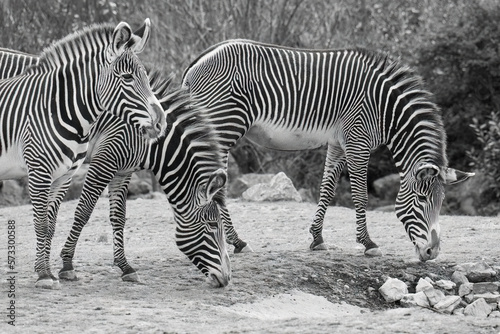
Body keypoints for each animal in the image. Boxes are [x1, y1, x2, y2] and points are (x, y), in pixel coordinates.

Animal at [0, 20, 168, 290]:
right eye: (128, 77)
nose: (161, 123)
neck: (57, 109)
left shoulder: (65, 175)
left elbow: (51, 224)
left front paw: (48, 270)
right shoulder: (40, 171)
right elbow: (42, 223)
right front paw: (45, 274)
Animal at [182, 39, 474, 260]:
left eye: (441, 202)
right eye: (423, 200)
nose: (432, 253)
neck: (385, 108)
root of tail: (195, 64)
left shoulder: (338, 142)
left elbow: (327, 188)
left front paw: (317, 237)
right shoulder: (358, 141)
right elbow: (360, 195)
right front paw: (368, 243)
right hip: (224, 125)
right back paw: (237, 241)